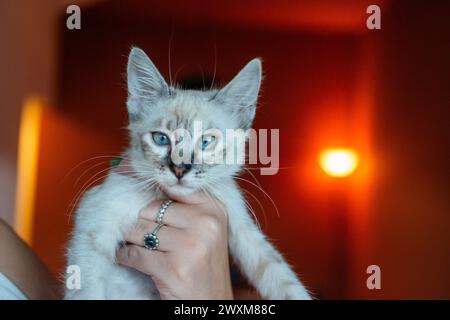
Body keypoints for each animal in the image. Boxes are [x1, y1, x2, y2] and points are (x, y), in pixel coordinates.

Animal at [65, 47, 312, 300]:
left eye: (206, 142)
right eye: (161, 139)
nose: (179, 169)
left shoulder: (240, 223)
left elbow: (279, 273)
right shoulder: (93, 222)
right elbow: (86, 288)